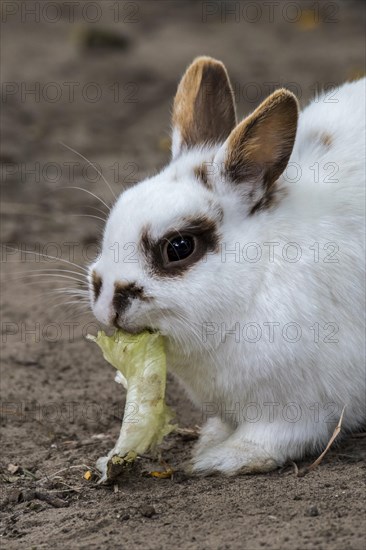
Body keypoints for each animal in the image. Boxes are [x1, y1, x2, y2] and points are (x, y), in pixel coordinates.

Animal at [89, 57, 366, 478]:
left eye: (179, 247)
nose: (107, 308)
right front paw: (211, 439)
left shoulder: (302, 407)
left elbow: (274, 438)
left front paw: (221, 459)